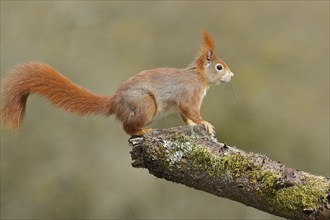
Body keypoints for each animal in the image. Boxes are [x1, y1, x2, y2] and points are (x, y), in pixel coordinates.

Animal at [0, 30, 232, 135]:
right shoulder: (189, 94)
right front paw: (205, 123)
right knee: (127, 128)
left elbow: (186, 116)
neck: (199, 76)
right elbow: (191, 111)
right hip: (144, 104)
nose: (232, 76)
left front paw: (195, 125)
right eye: (219, 67)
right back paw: (142, 131)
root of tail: (114, 102)